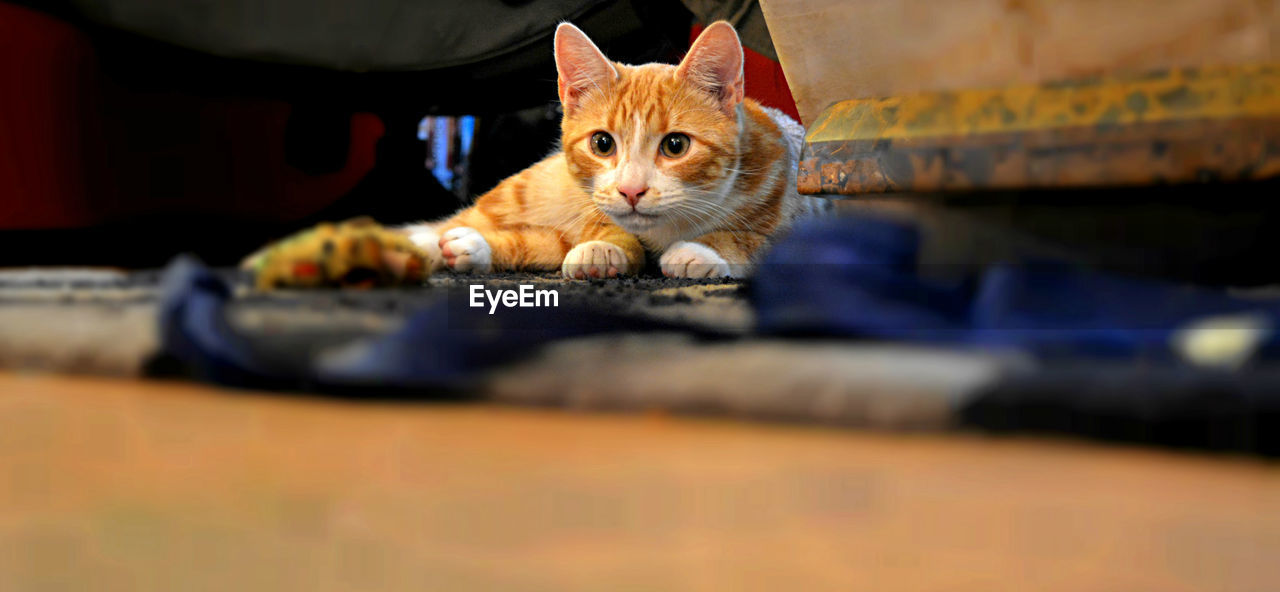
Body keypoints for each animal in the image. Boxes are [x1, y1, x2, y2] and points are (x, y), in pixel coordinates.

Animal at [404, 21, 834, 280]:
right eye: (602, 143)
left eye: (675, 145)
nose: (631, 190)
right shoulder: (592, 206)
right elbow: (602, 227)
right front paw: (604, 248)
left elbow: (756, 239)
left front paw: (702, 250)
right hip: (526, 190)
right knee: (455, 223)